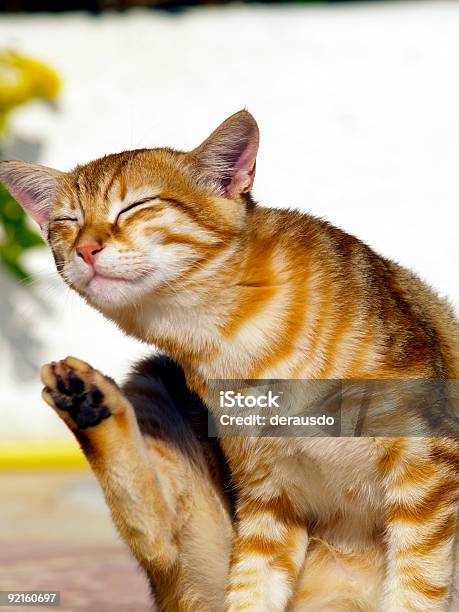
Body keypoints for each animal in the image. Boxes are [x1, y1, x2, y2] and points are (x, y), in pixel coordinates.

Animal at [0, 111, 459, 612]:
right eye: (68, 221)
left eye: (135, 206)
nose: (86, 249)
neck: (231, 338)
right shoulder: (264, 496)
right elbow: (248, 588)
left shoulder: (424, 461)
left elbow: (416, 587)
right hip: (152, 379)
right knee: (159, 540)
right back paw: (85, 399)